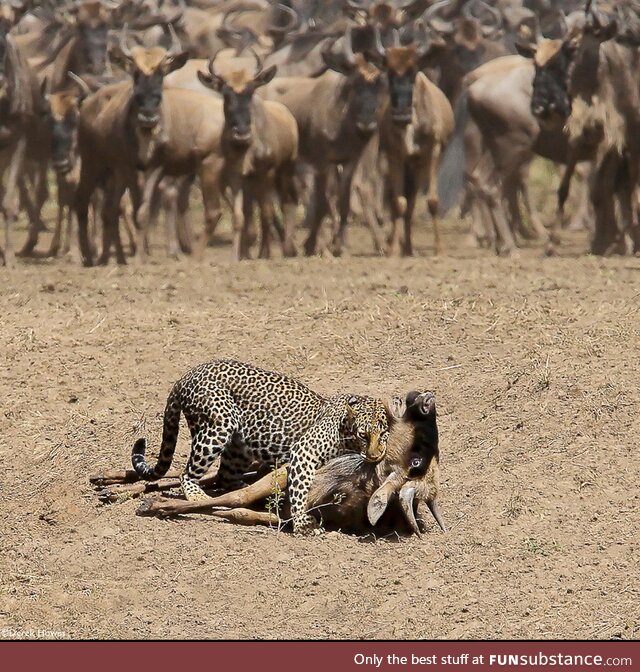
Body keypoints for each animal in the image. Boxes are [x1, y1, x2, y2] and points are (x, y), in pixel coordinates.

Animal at [131, 360, 392, 532]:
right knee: (187, 474)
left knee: (226, 478)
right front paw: (302, 522)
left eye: (383, 435)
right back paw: (197, 496)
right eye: (363, 435)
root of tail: (186, 375)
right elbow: (301, 490)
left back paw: (250, 488)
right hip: (218, 425)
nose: (375, 455)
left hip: (240, 447)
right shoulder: (304, 452)